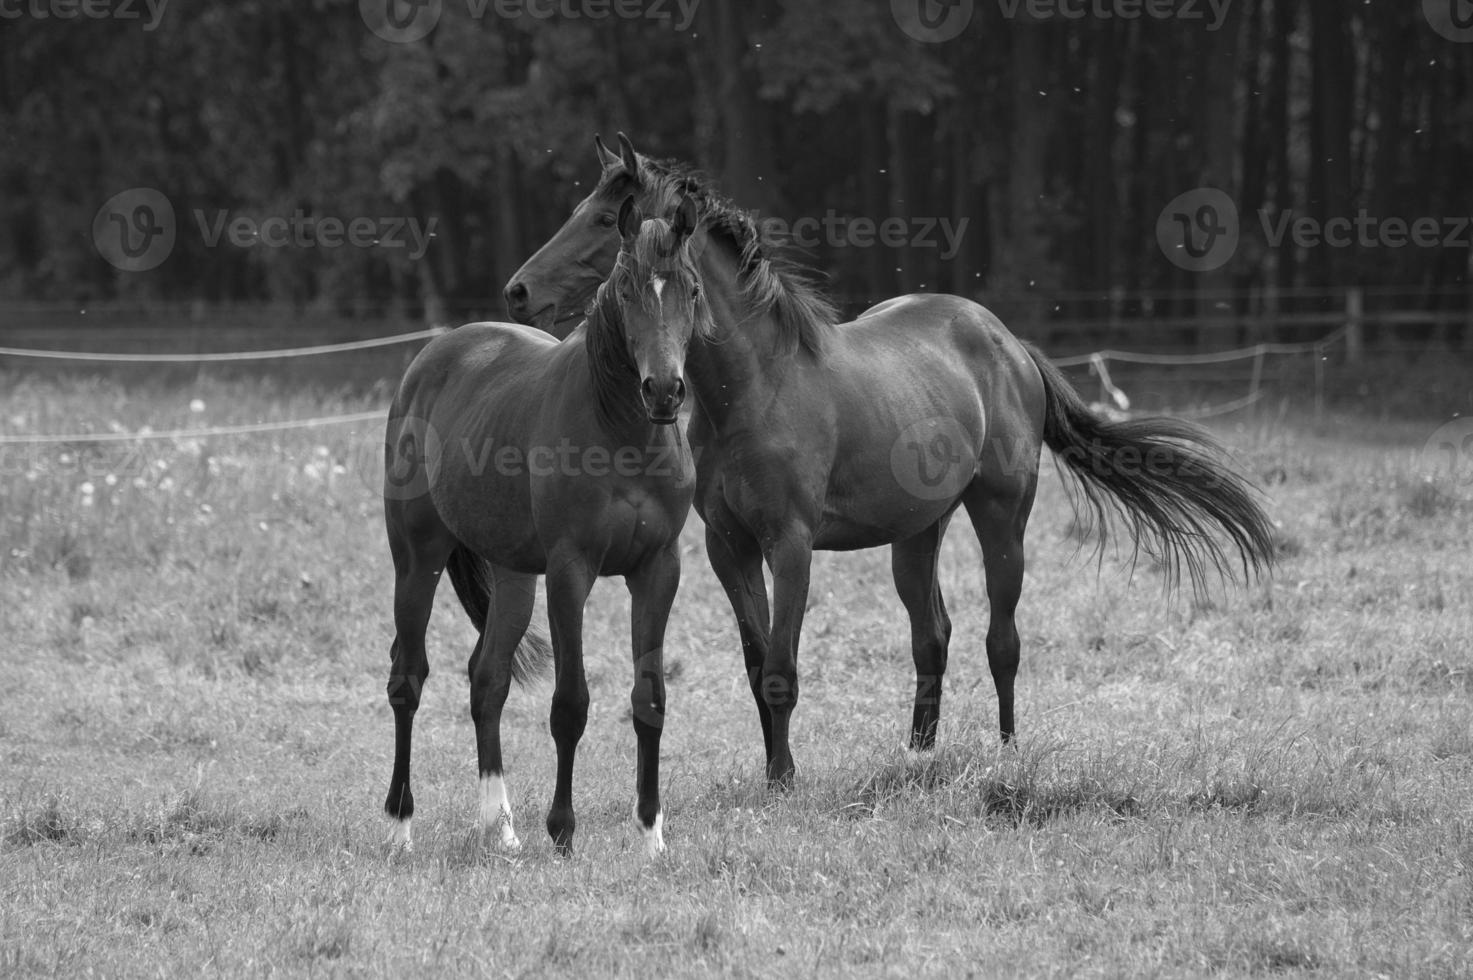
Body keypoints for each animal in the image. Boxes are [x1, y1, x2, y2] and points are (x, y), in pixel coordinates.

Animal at [382, 194, 709, 854]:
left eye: (690, 288)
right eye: (628, 288)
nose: (664, 390)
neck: (622, 434)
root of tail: (430, 360)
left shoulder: (658, 570)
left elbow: (649, 698)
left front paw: (651, 836)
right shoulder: (569, 573)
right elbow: (570, 703)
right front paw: (562, 832)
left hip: (512, 575)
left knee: (487, 679)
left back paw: (500, 829)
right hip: (417, 556)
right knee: (408, 677)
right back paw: (402, 826)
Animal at [506, 131, 1278, 789]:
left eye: (602, 221)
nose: (517, 291)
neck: (754, 386)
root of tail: (1007, 342)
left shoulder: (790, 544)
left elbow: (782, 666)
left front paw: (784, 780)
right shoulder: (729, 547)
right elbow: (756, 665)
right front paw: (773, 769)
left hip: (1002, 517)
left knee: (1002, 639)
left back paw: (1006, 754)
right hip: (916, 533)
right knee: (931, 636)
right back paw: (918, 757)